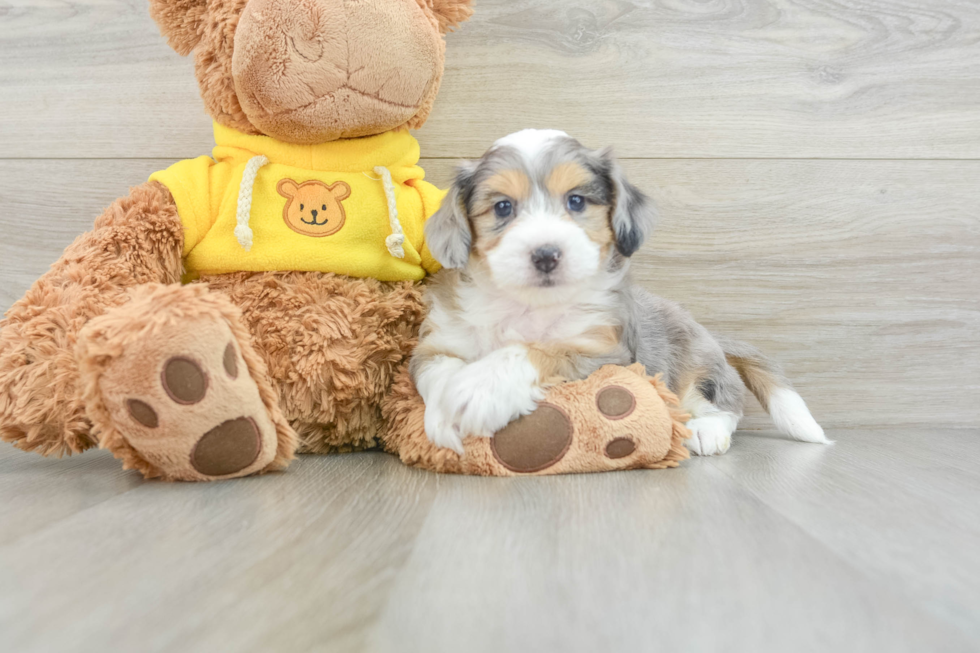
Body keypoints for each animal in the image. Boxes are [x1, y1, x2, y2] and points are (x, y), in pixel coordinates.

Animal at [410, 127, 832, 454]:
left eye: (576, 201)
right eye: (502, 208)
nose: (546, 255)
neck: (528, 305)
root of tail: (709, 333)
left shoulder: (607, 354)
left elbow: (538, 350)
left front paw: (480, 388)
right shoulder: (437, 344)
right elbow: (438, 370)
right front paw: (445, 412)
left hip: (696, 366)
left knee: (724, 402)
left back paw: (706, 431)